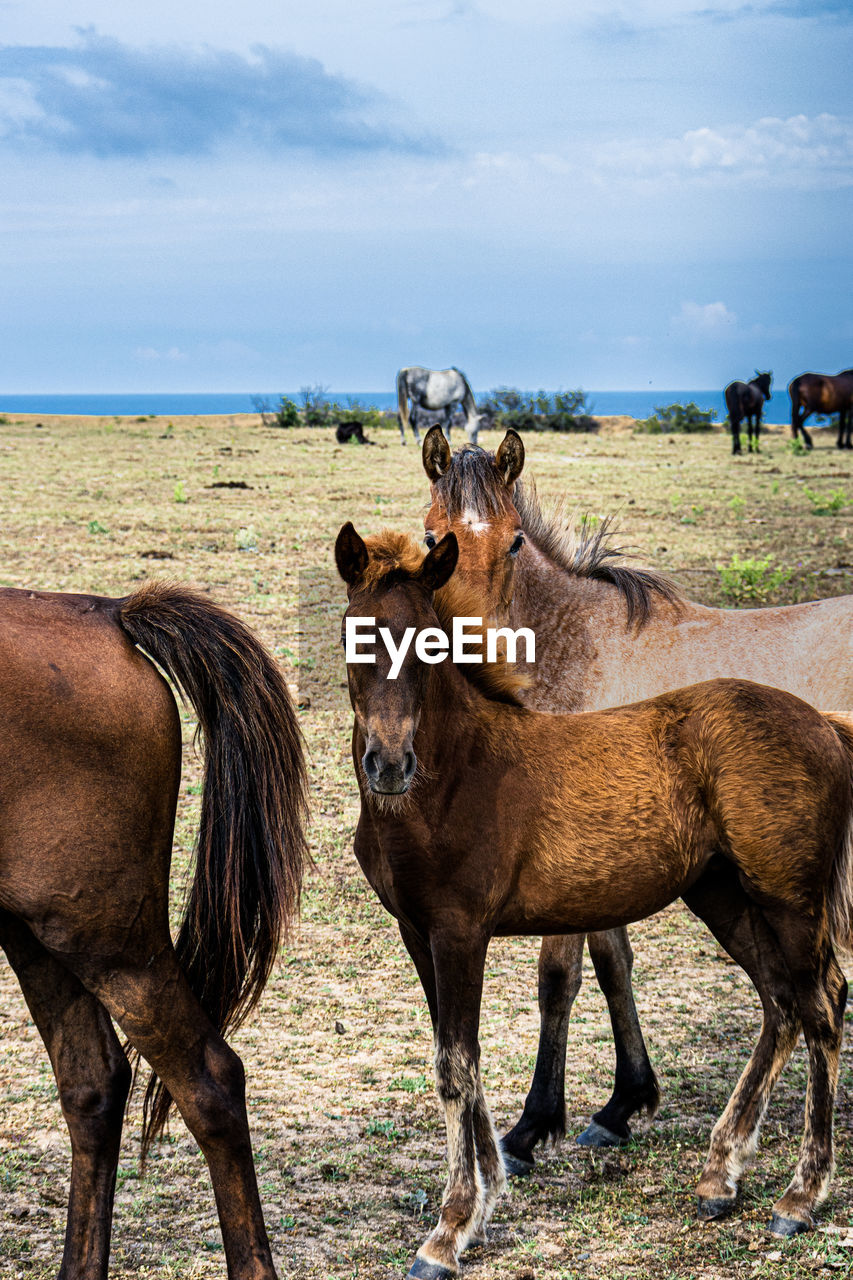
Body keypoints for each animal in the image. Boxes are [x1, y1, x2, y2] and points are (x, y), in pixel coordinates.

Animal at [335, 522, 850, 1280]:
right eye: (355, 634)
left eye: (430, 643)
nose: (389, 763)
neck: (452, 777)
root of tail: (823, 722)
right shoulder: (416, 932)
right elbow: (463, 1061)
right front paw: (486, 1199)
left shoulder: (461, 931)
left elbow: (454, 1068)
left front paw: (449, 1230)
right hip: (721, 893)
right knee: (780, 1001)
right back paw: (719, 1178)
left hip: (789, 898)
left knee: (821, 1006)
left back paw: (800, 1197)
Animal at [417, 427, 850, 1172]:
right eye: (429, 537)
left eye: (513, 542)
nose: (479, 662)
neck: (574, 650)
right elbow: (612, 964)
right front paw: (622, 1104)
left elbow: (558, 978)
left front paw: (532, 1127)